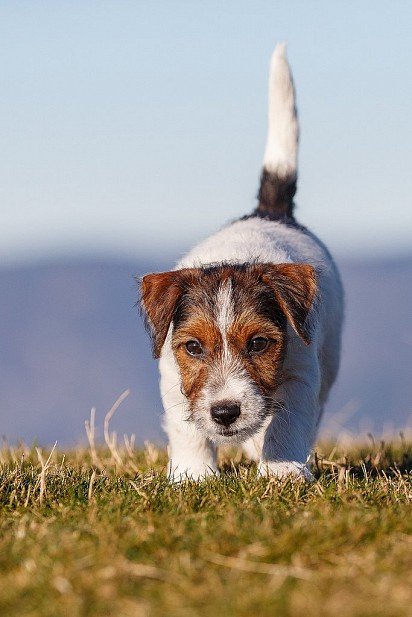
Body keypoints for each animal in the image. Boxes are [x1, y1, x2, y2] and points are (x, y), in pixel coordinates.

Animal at [140, 43, 342, 482]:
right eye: (193, 347)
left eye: (260, 343)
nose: (225, 413)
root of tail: (269, 212)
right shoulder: (173, 378)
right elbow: (187, 430)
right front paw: (192, 476)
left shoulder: (301, 373)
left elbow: (287, 423)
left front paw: (282, 472)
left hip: (330, 357)